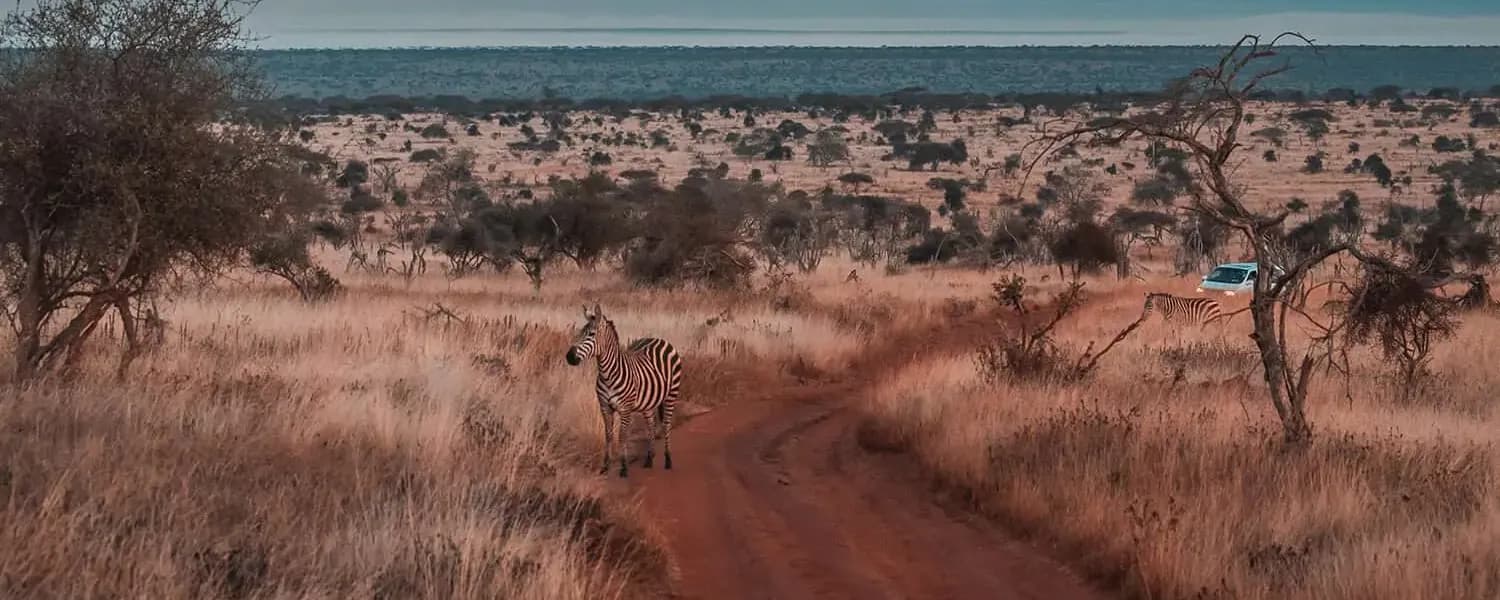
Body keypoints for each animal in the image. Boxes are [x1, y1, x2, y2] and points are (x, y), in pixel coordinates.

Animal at [566, 304, 684, 478]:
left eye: (591, 335)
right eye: (580, 333)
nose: (569, 357)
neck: (607, 374)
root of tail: (659, 339)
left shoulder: (625, 409)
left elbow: (622, 436)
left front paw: (623, 467)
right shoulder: (605, 407)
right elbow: (608, 435)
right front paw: (605, 466)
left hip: (671, 395)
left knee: (666, 425)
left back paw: (668, 460)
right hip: (648, 403)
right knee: (651, 424)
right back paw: (649, 459)